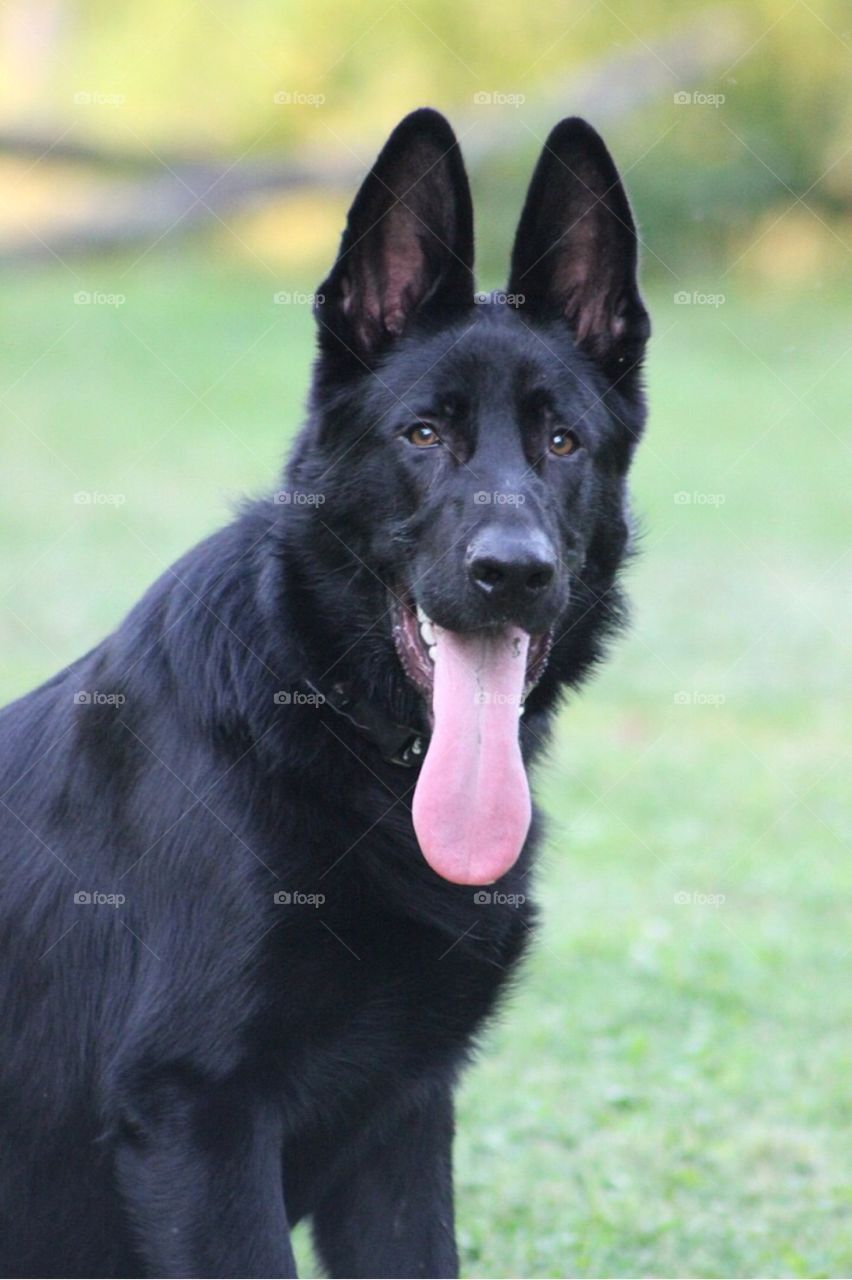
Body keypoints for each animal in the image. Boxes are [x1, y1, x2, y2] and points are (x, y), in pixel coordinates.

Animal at [0, 112, 647, 1280]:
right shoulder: (202, 1120)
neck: (353, 739)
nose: (513, 571)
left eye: (561, 441)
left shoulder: (404, 1121)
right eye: (423, 435)